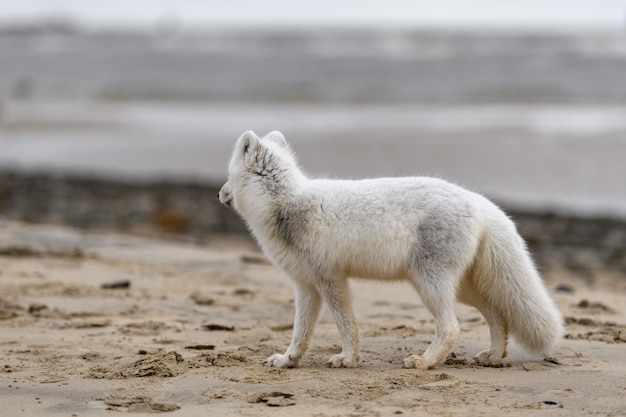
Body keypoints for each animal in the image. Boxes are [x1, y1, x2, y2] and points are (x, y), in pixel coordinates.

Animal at [217, 130, 564, 368]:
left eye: (229, 176)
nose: (219, 194)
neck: (286, 205)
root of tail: (479, 201)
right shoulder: (306, 286)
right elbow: (300, 332)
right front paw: (288, 360)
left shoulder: (331, 280)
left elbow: (345, 324)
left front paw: (347, 358)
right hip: (462, 288)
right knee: (497, 317)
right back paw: (493, 354)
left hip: (430, 284)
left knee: (452, 328)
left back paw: (425, 362)